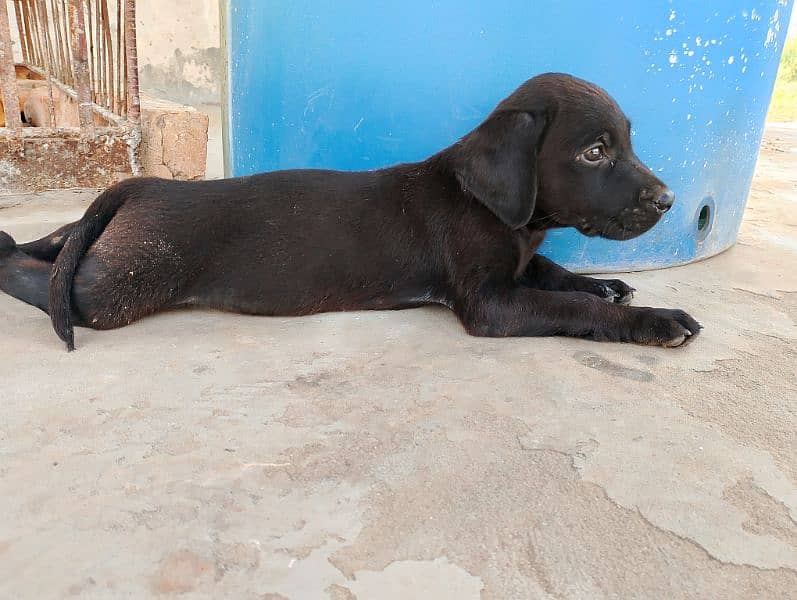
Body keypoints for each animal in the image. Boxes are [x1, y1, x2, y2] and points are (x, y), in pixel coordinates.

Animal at [0, 72, 696, 350]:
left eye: (626, 143)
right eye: (594, 152)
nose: (668, 201)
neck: (507, 215)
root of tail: (138, 187)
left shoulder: (519, 266)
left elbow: (554, 274)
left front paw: (605, 284)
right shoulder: (491, 303)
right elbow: (569, 308)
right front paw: (653, 320)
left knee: (58, 241)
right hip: (124, 283)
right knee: (52, 280)